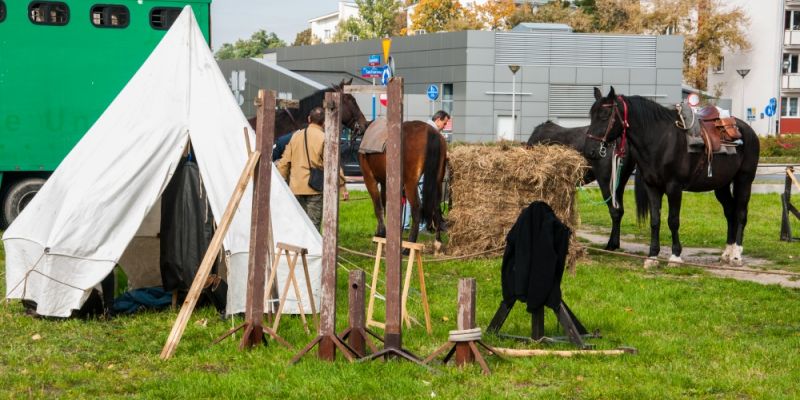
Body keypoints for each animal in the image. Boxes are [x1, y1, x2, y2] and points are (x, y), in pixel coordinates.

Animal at [358, 120, 446, 248]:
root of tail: (430, 131)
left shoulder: (369, 178)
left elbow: (378, 207)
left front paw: (380, 234)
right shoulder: (386, 182)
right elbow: (387, 205)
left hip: (410, 183)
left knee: (417, 209)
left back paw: (409, 246)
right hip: (437, 181)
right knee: (437, 206)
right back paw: (438, 242)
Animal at [592, 88, 760, 268]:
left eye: (604, 115)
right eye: (591, 114)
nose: (593, 150)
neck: (660, 140)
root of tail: (747, 131)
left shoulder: (674, 187)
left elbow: (673, 220)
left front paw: (675, 256)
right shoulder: (652, 187)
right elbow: (655, 220)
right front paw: (652, 256)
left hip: (744, 180)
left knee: (741, 213)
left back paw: (736, 254)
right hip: (721, 185)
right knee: (730, 212)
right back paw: (727, 252)